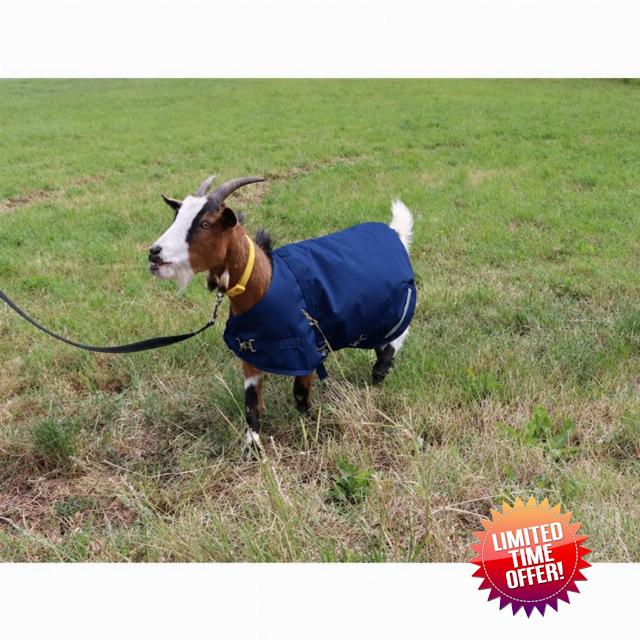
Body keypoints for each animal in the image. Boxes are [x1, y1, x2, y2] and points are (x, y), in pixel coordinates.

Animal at [149, 175, 416, 454]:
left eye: (205, 223)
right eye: (176, 217)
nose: (154, 252)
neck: (266, 283)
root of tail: (395, 234)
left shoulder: (307, 351)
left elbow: (299, 393)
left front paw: (311, 425)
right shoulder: (250, 353)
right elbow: (251, 403)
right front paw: (253, 447)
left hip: (397, 306)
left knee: (396, 338)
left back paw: (379, 373)